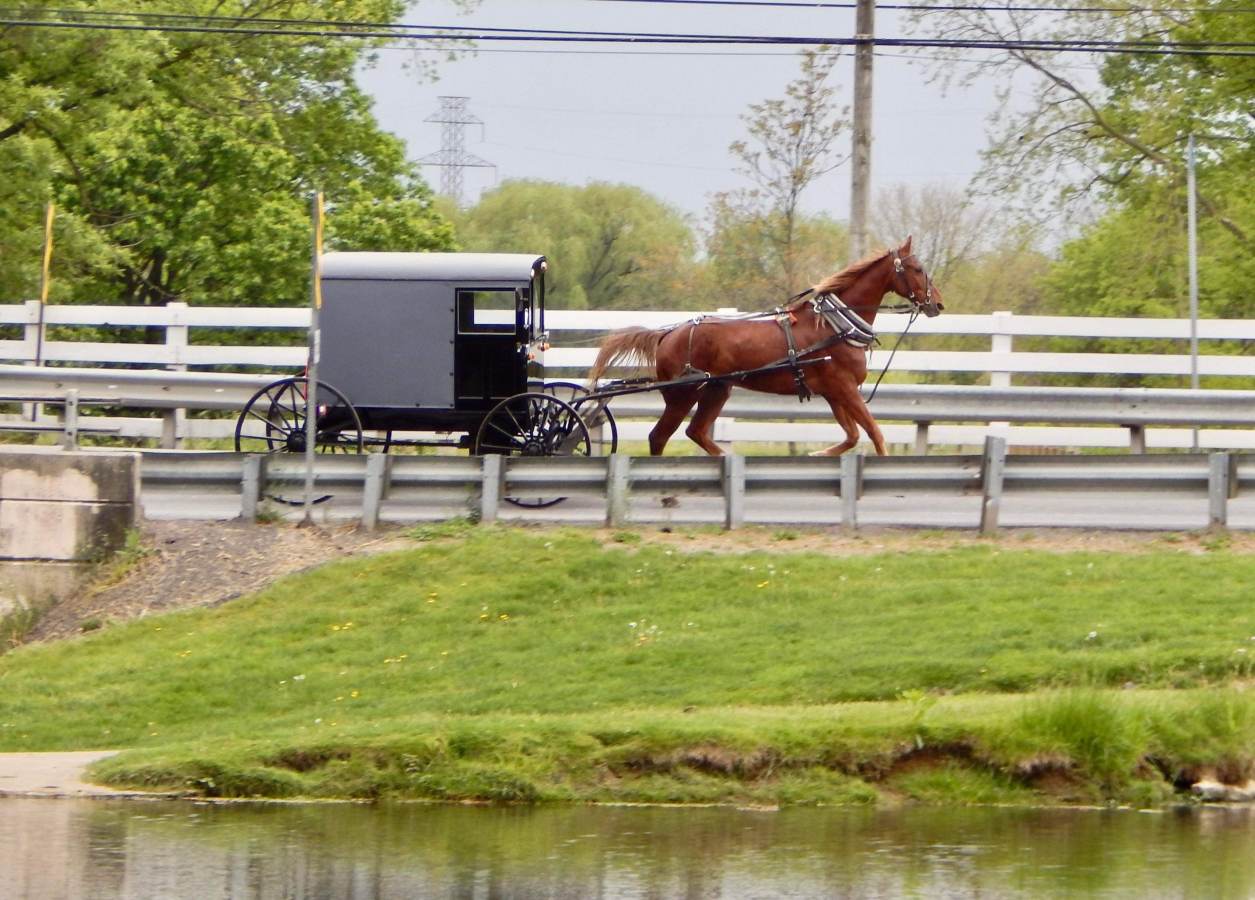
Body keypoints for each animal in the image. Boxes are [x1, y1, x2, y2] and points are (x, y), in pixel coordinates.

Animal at [584, 237, 943, 456]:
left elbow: (852, 435)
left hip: (717, 390)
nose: (937, 303)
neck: (833, 326)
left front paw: (817, 452)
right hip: (683, 395)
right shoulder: (844, 388)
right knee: (659, 437)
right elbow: (875, 433)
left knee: (697, 433)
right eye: (916, 268)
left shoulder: (834, 392)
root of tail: (668, 334)